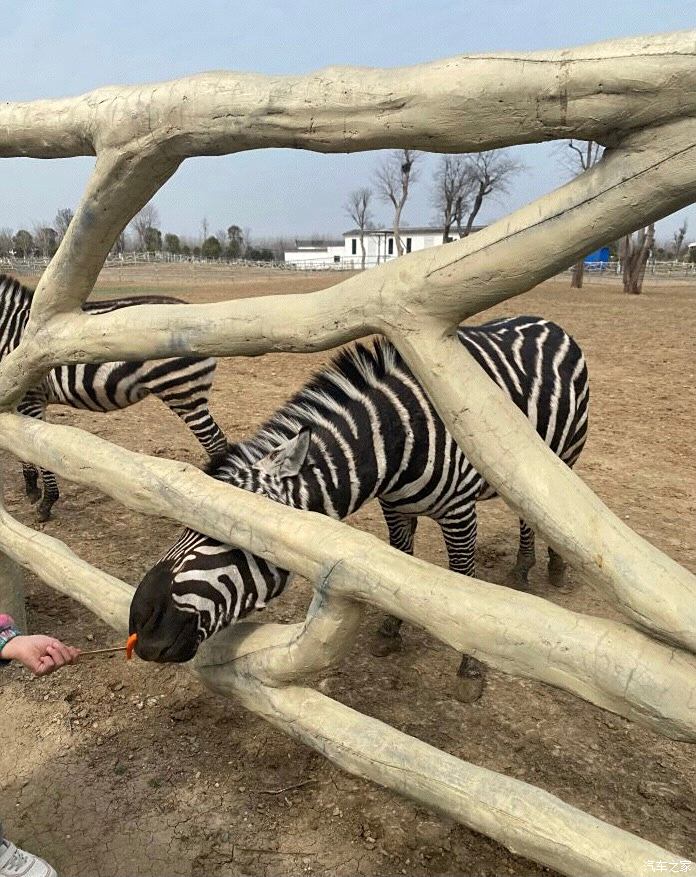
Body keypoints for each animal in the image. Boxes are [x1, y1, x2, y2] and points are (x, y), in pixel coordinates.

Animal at [0, 274, 228, 520]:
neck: (8, 331)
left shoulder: (30, 396)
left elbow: (34, 446)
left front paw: (46, 502)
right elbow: (19, 442)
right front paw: (32, 487)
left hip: (182, 392)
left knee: (215, 442)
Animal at [129, 312, 588, 700]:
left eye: (230, 531)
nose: (139, 622)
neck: (396, 441)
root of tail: (543, 320)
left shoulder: (459, 511)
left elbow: (464, 581)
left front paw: (470, 670)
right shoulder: (394, 506)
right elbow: (400, 560)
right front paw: (390, 629)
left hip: (561, 453)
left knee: (542, 510)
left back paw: (539, 568)